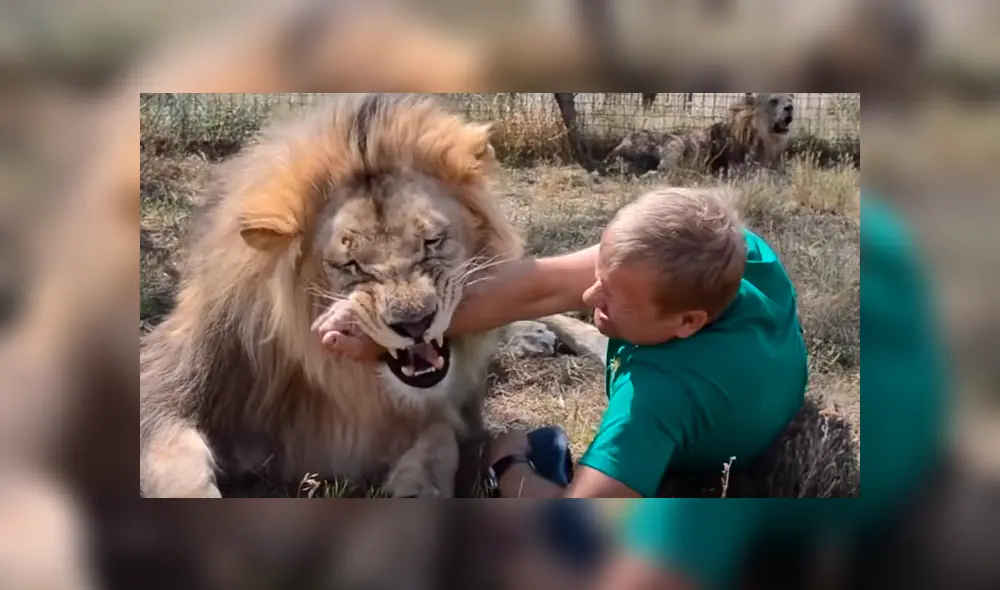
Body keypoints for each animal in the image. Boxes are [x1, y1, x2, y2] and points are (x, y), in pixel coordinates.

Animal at [139, 93, 525, 498]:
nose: (415, 324)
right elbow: (178, 463)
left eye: (432, 242)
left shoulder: (450, 414)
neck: (344, 383)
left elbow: (441, 441)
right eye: (350, 264)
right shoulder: (166, 388)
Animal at [602, 93, 795, 176]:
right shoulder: (737, 168)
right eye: (774, 101)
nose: (791, 107)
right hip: (675, 142)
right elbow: (765, 172)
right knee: (661, 172)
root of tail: (612, 154)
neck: (767, 137)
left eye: (790, 99)